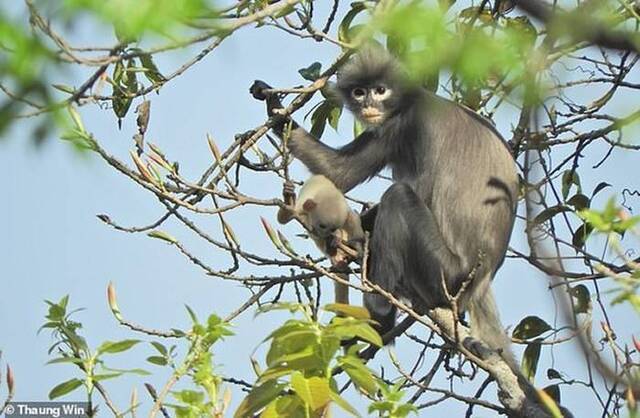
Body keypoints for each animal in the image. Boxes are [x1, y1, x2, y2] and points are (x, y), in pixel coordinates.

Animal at [276, 173, 364, 304]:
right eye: (322, 226)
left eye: (332, 228)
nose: (326, 233)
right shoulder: (303, 206)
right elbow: (284, 217)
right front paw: (288, 195)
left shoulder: (344, 212)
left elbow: (353, 219)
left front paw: (356, 247)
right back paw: (334, 253)